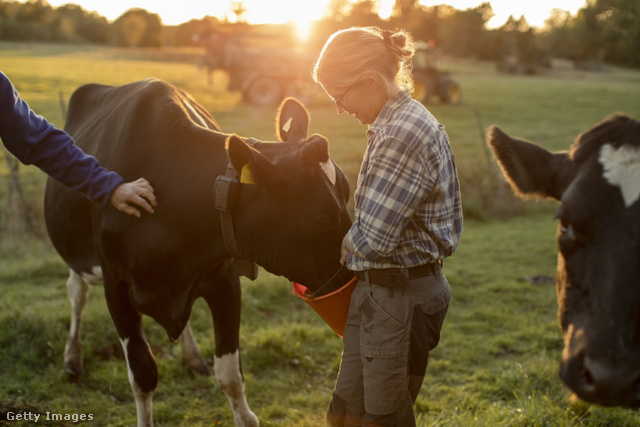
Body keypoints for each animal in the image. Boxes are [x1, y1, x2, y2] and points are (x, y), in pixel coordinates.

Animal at [43, 78, 356, 426]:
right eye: (322, 219)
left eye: (347, 194)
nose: (353, 277)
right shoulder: (117, 287)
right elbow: (143, 374)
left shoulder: (224, 281)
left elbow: (230, 375)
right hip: (78, 254)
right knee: (77, 292)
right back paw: (72, 358)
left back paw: (192, 358)